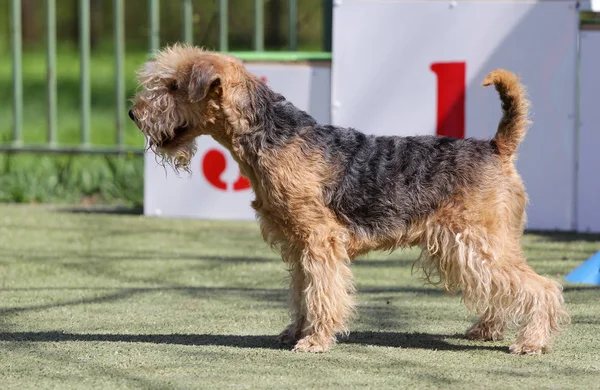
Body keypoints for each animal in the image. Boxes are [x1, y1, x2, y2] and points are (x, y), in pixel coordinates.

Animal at [129, 44, 568, 354]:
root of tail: (497, 147)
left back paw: (531, 342)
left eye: (171, 86)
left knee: (541, 286)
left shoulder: (319, 240)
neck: (272, 137)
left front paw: (314, 341)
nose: (134, 114)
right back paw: (486, 330)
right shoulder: (297, 244)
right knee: (501, 289)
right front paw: (294, 332)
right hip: (470, 246)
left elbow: (322, 293)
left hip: (476, 242)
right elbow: (302, 294)